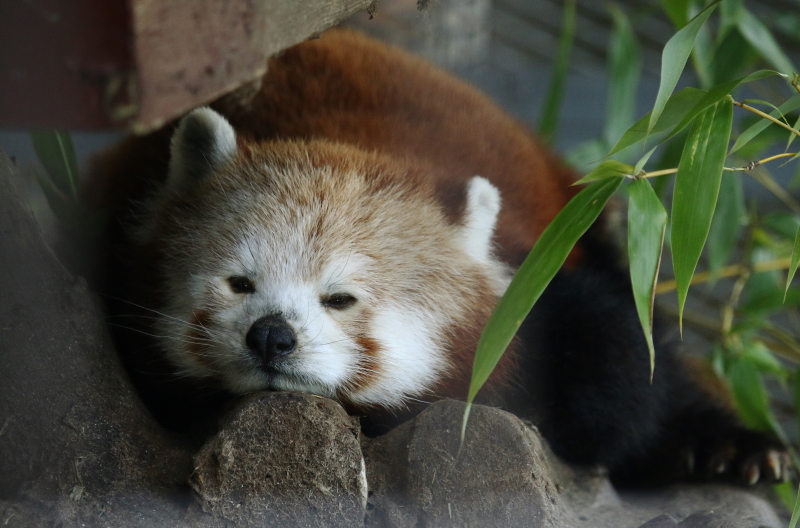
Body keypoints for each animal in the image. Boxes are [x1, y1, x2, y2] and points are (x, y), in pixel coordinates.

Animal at [94, 27, 788, 482]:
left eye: (340, 299)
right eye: (239, 283)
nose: (271, 335)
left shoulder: (538, 278)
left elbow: (623, 366)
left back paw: (731, 450)